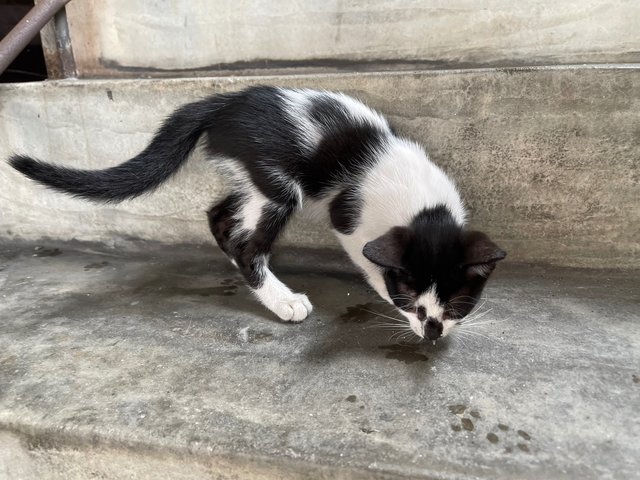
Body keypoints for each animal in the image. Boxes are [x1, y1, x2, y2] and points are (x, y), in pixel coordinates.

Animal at [6, 86, 504, 342]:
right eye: (415, 302)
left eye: (456, 303)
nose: (433, 330)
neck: (422, 208)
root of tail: (221, 102)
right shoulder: (349, 218)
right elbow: (368, 259)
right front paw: (388, 295)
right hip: (278, 182)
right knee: (247, 242)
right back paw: (278, 296)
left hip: (253, 178)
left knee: (220, 217)